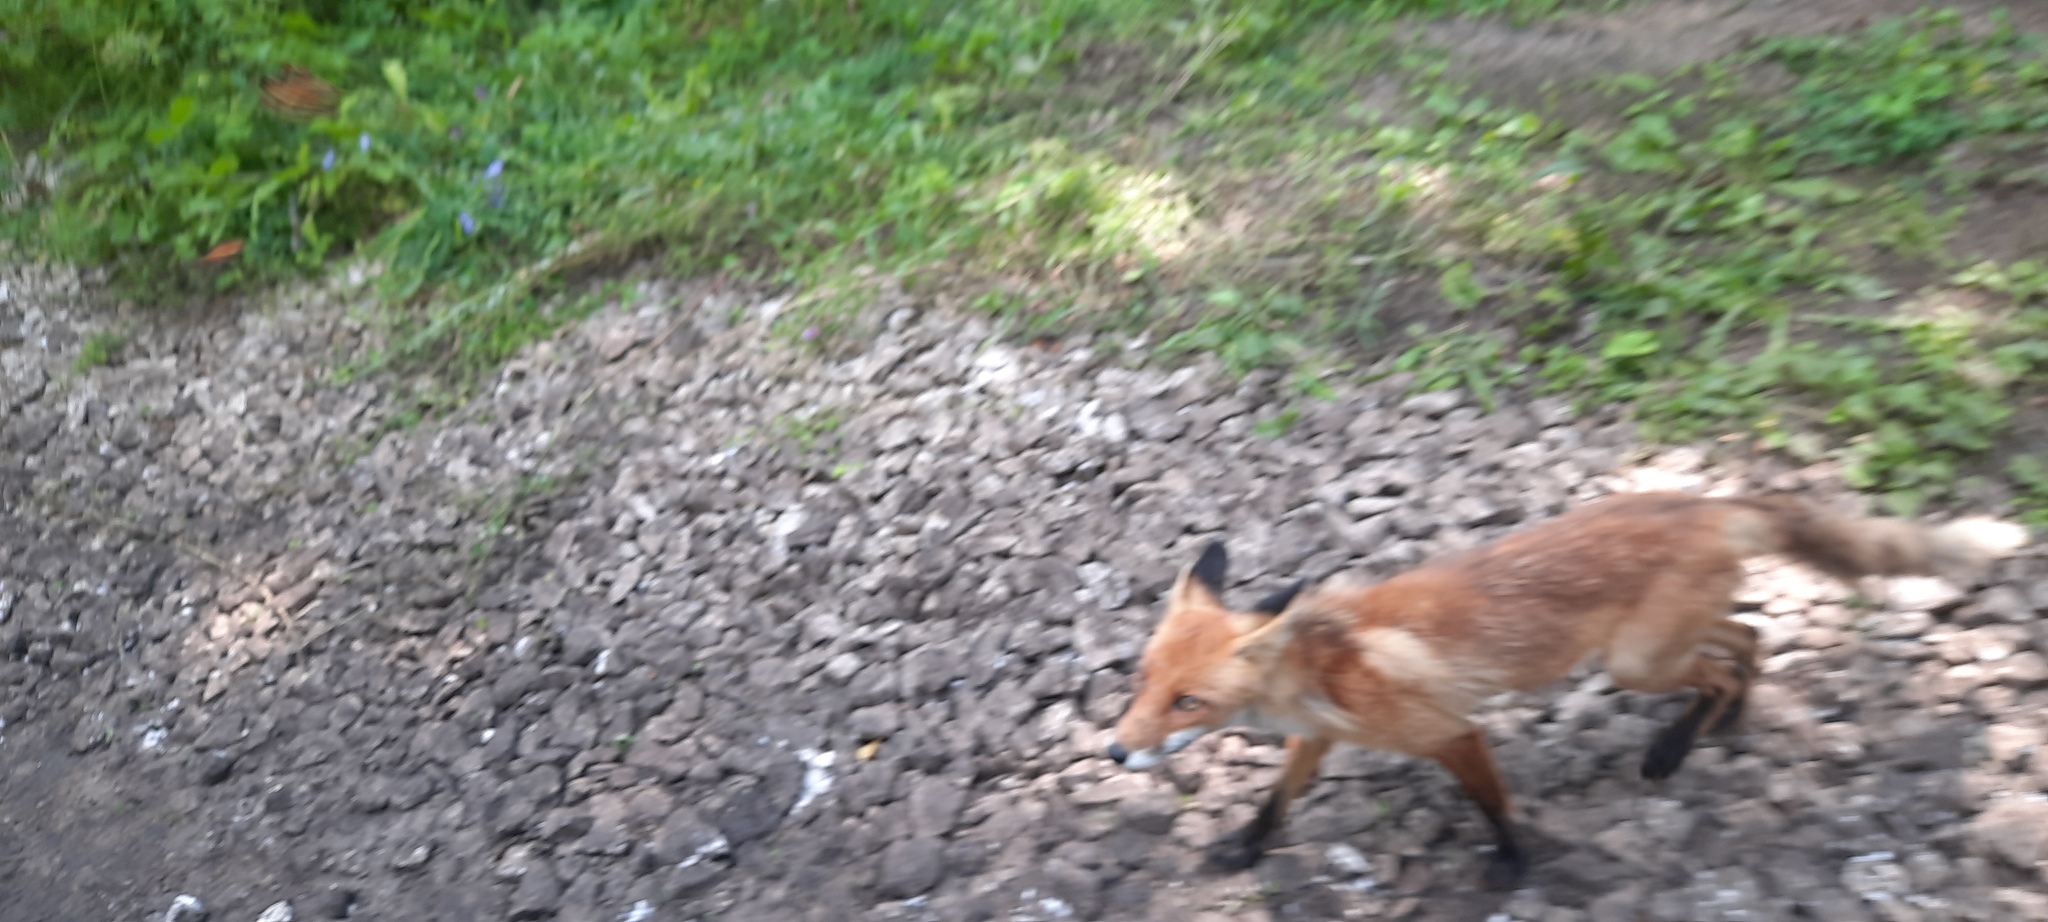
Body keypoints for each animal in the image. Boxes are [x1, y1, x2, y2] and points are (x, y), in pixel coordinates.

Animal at [1114, 493, 2023, 889]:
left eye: (1188, 703)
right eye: (1143, 681)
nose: (1118, 752)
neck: (1320, 671)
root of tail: (1705, 500)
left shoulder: (1449, 732)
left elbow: (1494, 805)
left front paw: (1514, 867)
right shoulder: (1320, 736)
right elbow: (1276, 801)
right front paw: (1242, 849)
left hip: (1636, 663)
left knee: (1727, 660)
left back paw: (1675, 747)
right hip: (1659, 647)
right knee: (1747, 640)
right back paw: (1729, 719)